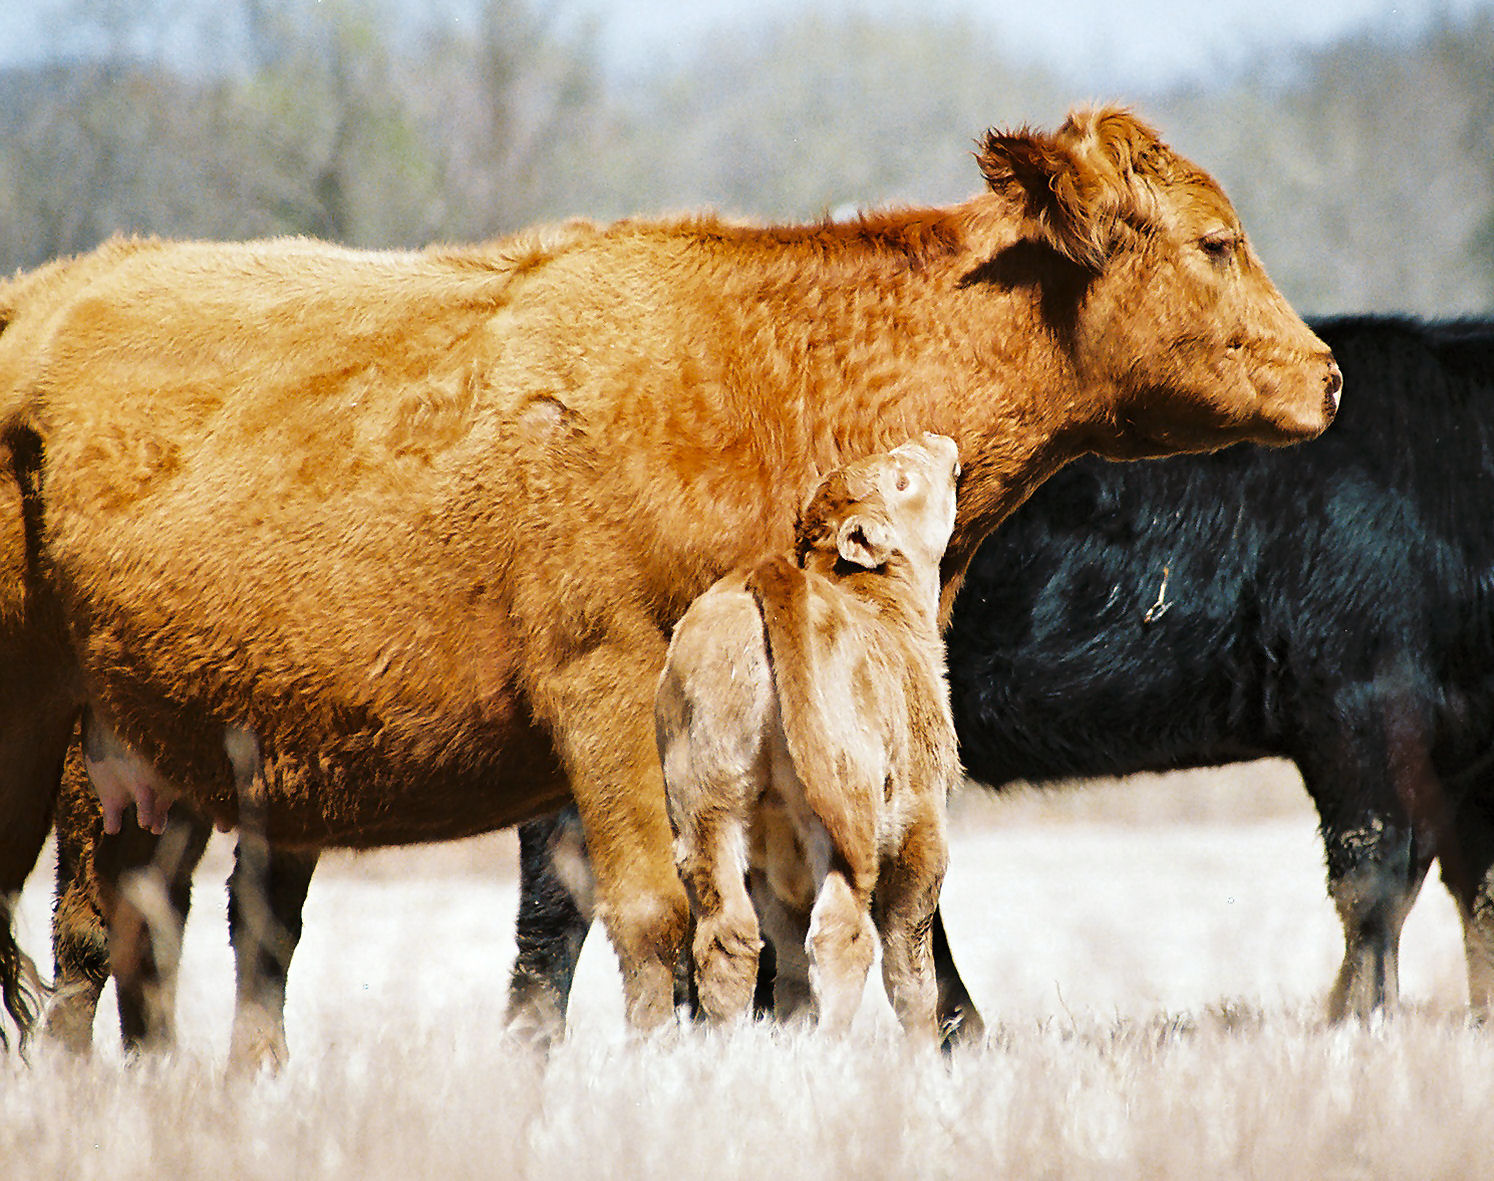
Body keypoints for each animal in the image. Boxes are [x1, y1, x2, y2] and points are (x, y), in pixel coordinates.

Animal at [663, 436, 956, 1046]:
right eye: (901, 481)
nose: (937, 442)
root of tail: (770, 573)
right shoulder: (922, 829)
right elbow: (912, 962)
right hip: (846, 808)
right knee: (843, 935)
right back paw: (831, 1050)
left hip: (706, 804)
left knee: (729, 938)